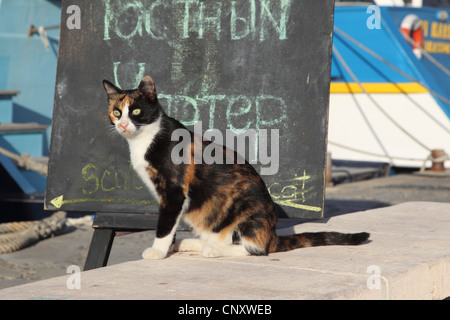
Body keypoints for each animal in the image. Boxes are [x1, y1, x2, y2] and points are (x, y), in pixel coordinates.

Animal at [103, 75, 370, 260]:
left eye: (136, 110)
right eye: (116, 112)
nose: (123, 124)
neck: (146, 138)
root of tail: (272, 234)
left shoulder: (174, 192)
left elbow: (165, 225)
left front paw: (158, 251)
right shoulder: (172, 198)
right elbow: (170, 224)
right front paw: (167, 248)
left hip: (246, 202)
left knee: (256, 249)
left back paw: (213, 250)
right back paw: (197, 244)